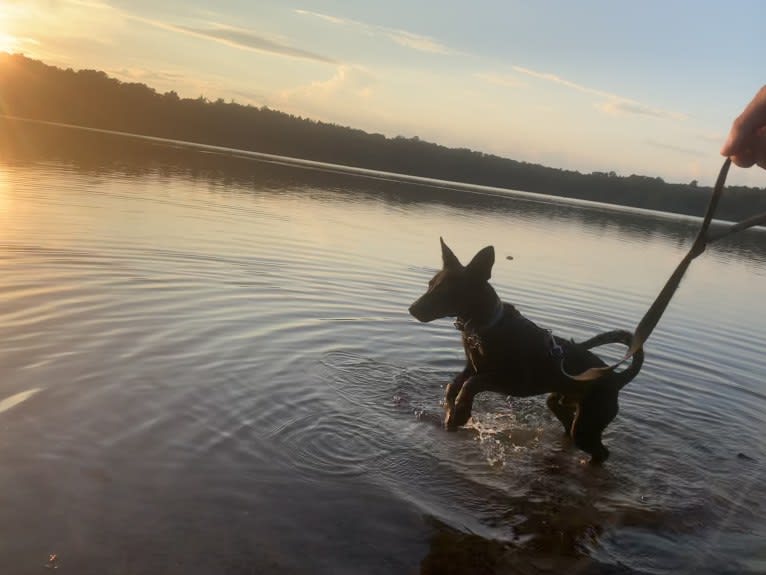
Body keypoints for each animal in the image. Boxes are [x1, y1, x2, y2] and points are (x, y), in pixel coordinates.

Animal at [412, 238, 644, 464]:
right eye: (430, 284)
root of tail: (617, 378)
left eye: (447, 290)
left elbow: (471, 384)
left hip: (588, 424)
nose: (412, 309)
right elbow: (453, 384)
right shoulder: (473, 367)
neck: (486, 326)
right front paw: (451, 411)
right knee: (569, 432)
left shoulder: (511, 380)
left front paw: (461, 413)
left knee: (601, 453)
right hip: (560, 406)